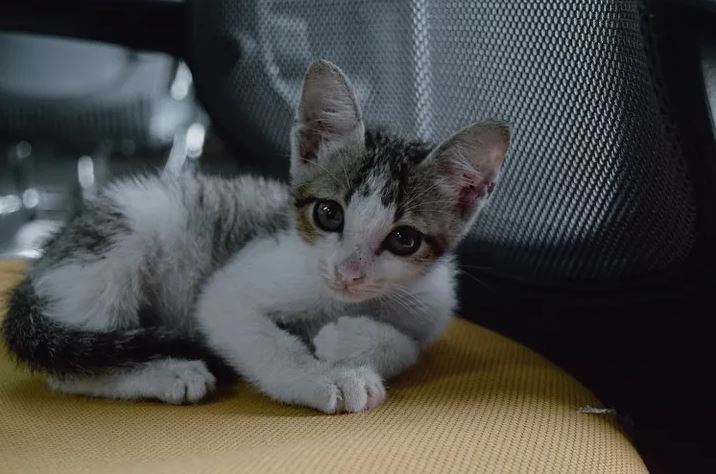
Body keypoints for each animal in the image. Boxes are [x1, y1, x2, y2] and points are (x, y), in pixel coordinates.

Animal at [1, 61, 510, 412]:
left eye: (404, 240)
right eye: (329, 213)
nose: (347, 273)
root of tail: (39, 262)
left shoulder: (430, 309)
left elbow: (410, 348)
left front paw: (347, 341)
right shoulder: (231, 288)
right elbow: (263, 339)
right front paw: (325, 376)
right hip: (126, 236)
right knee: (70, 369)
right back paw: (168, 373)